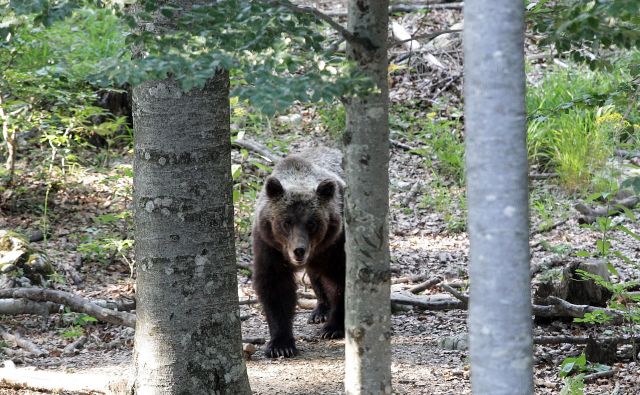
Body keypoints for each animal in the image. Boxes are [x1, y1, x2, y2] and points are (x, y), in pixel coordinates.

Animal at [252, 148, 348, 358]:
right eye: (286, 222)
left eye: (312, 223)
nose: (299, 251)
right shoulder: (269, 247)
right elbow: (275, 286)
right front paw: (280, 344)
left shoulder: (336, 244)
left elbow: (340, 279)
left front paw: (334, 327)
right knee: (316, 277)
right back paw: (319, 311)